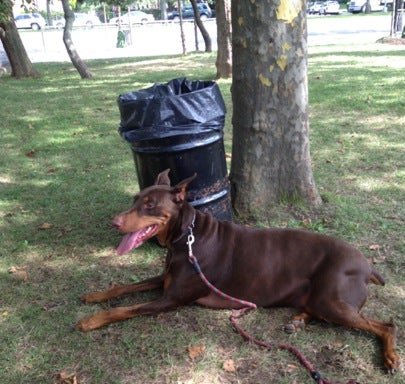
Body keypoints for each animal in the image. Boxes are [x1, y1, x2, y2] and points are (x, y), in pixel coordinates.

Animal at [76, 170, 398, 372]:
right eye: (135, 199)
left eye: (151, 204)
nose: (114, 222)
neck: (185, 237)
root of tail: (367, 266)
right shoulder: (165, 280)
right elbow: (125, 287)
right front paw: (94, 296)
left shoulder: (171, 299)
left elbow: (125, 309)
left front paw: (91, 320)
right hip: (320, 298)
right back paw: (296, 321)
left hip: (331, 299)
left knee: (385, 325)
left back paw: (391, 358)